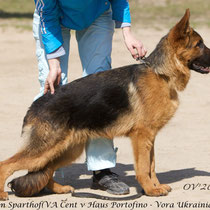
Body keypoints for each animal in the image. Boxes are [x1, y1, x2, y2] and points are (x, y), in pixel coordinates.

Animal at [0, 9, 210, 200]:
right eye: (199, 44)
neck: (161, 74)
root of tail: (34, 106)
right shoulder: (141, 137)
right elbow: (143, 168)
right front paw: (150, 190)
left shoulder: (150, 138)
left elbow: (152, 165)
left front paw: (155, 186)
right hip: (44, 150)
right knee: (6, 165)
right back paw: (3, 194)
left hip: (66, 150)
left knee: (47, 169)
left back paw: (59, 188)